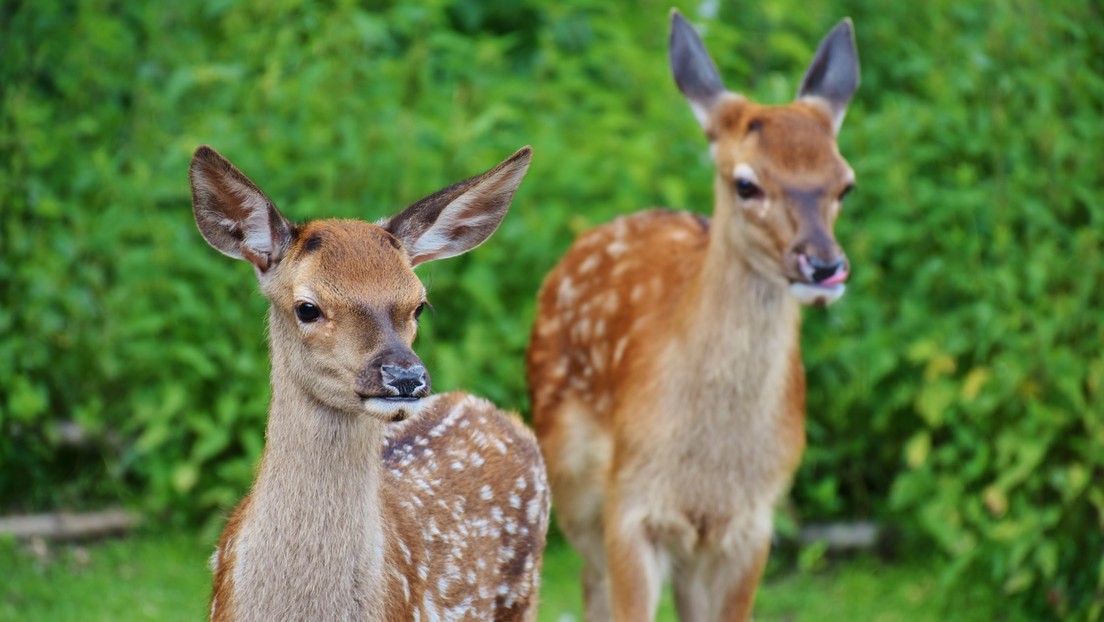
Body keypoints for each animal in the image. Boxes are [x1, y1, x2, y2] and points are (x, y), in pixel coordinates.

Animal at [525, 10, 861, 622]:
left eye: (844, 183)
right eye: (746, 182)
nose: (824, 265)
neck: (709, 466)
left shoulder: (752, 521)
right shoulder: (631, 503)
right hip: (571, 477)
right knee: (589, 581)